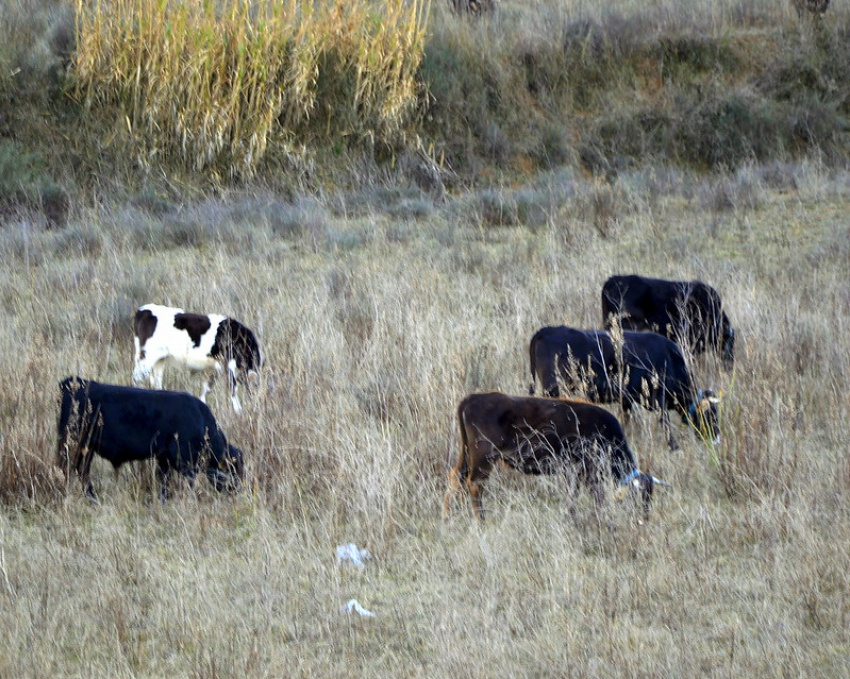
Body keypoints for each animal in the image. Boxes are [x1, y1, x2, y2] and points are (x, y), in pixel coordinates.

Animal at [56, 374, 243, 502]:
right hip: (74, 444)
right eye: (235, 471)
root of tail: (75, 382)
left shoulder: (164, 458)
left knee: (80, 471)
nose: (238, 492)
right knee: (72, 470)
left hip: (85, 448)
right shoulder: (184, 461)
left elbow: (165, 482)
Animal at [133, 304, 262, 414]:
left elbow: (207, 387)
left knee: (157, 381)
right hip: (147, 356)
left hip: (160, 359)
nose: (256, 403)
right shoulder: (228, 364)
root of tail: (142, 310)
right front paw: (239, 412)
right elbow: (233, 388)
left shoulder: (214, 367)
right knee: (137, 377)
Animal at [440, 394, 664, 520]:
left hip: (467, 455)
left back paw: (447, 517)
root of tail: (471, 399)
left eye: (650, 494)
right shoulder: (586, 469)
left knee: (455, 477)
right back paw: (481, 520)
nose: (644, 517)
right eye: (639, 495)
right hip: (483, 458)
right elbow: (594, 495)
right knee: (475, 484)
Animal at [528, 328, 720, 452]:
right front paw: (674, 447)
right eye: (711, 415)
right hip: (554, 387)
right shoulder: (658, 397)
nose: (716, 439)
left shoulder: (627, 399)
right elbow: (664, 421)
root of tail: (546, 330)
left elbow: (625, 419)